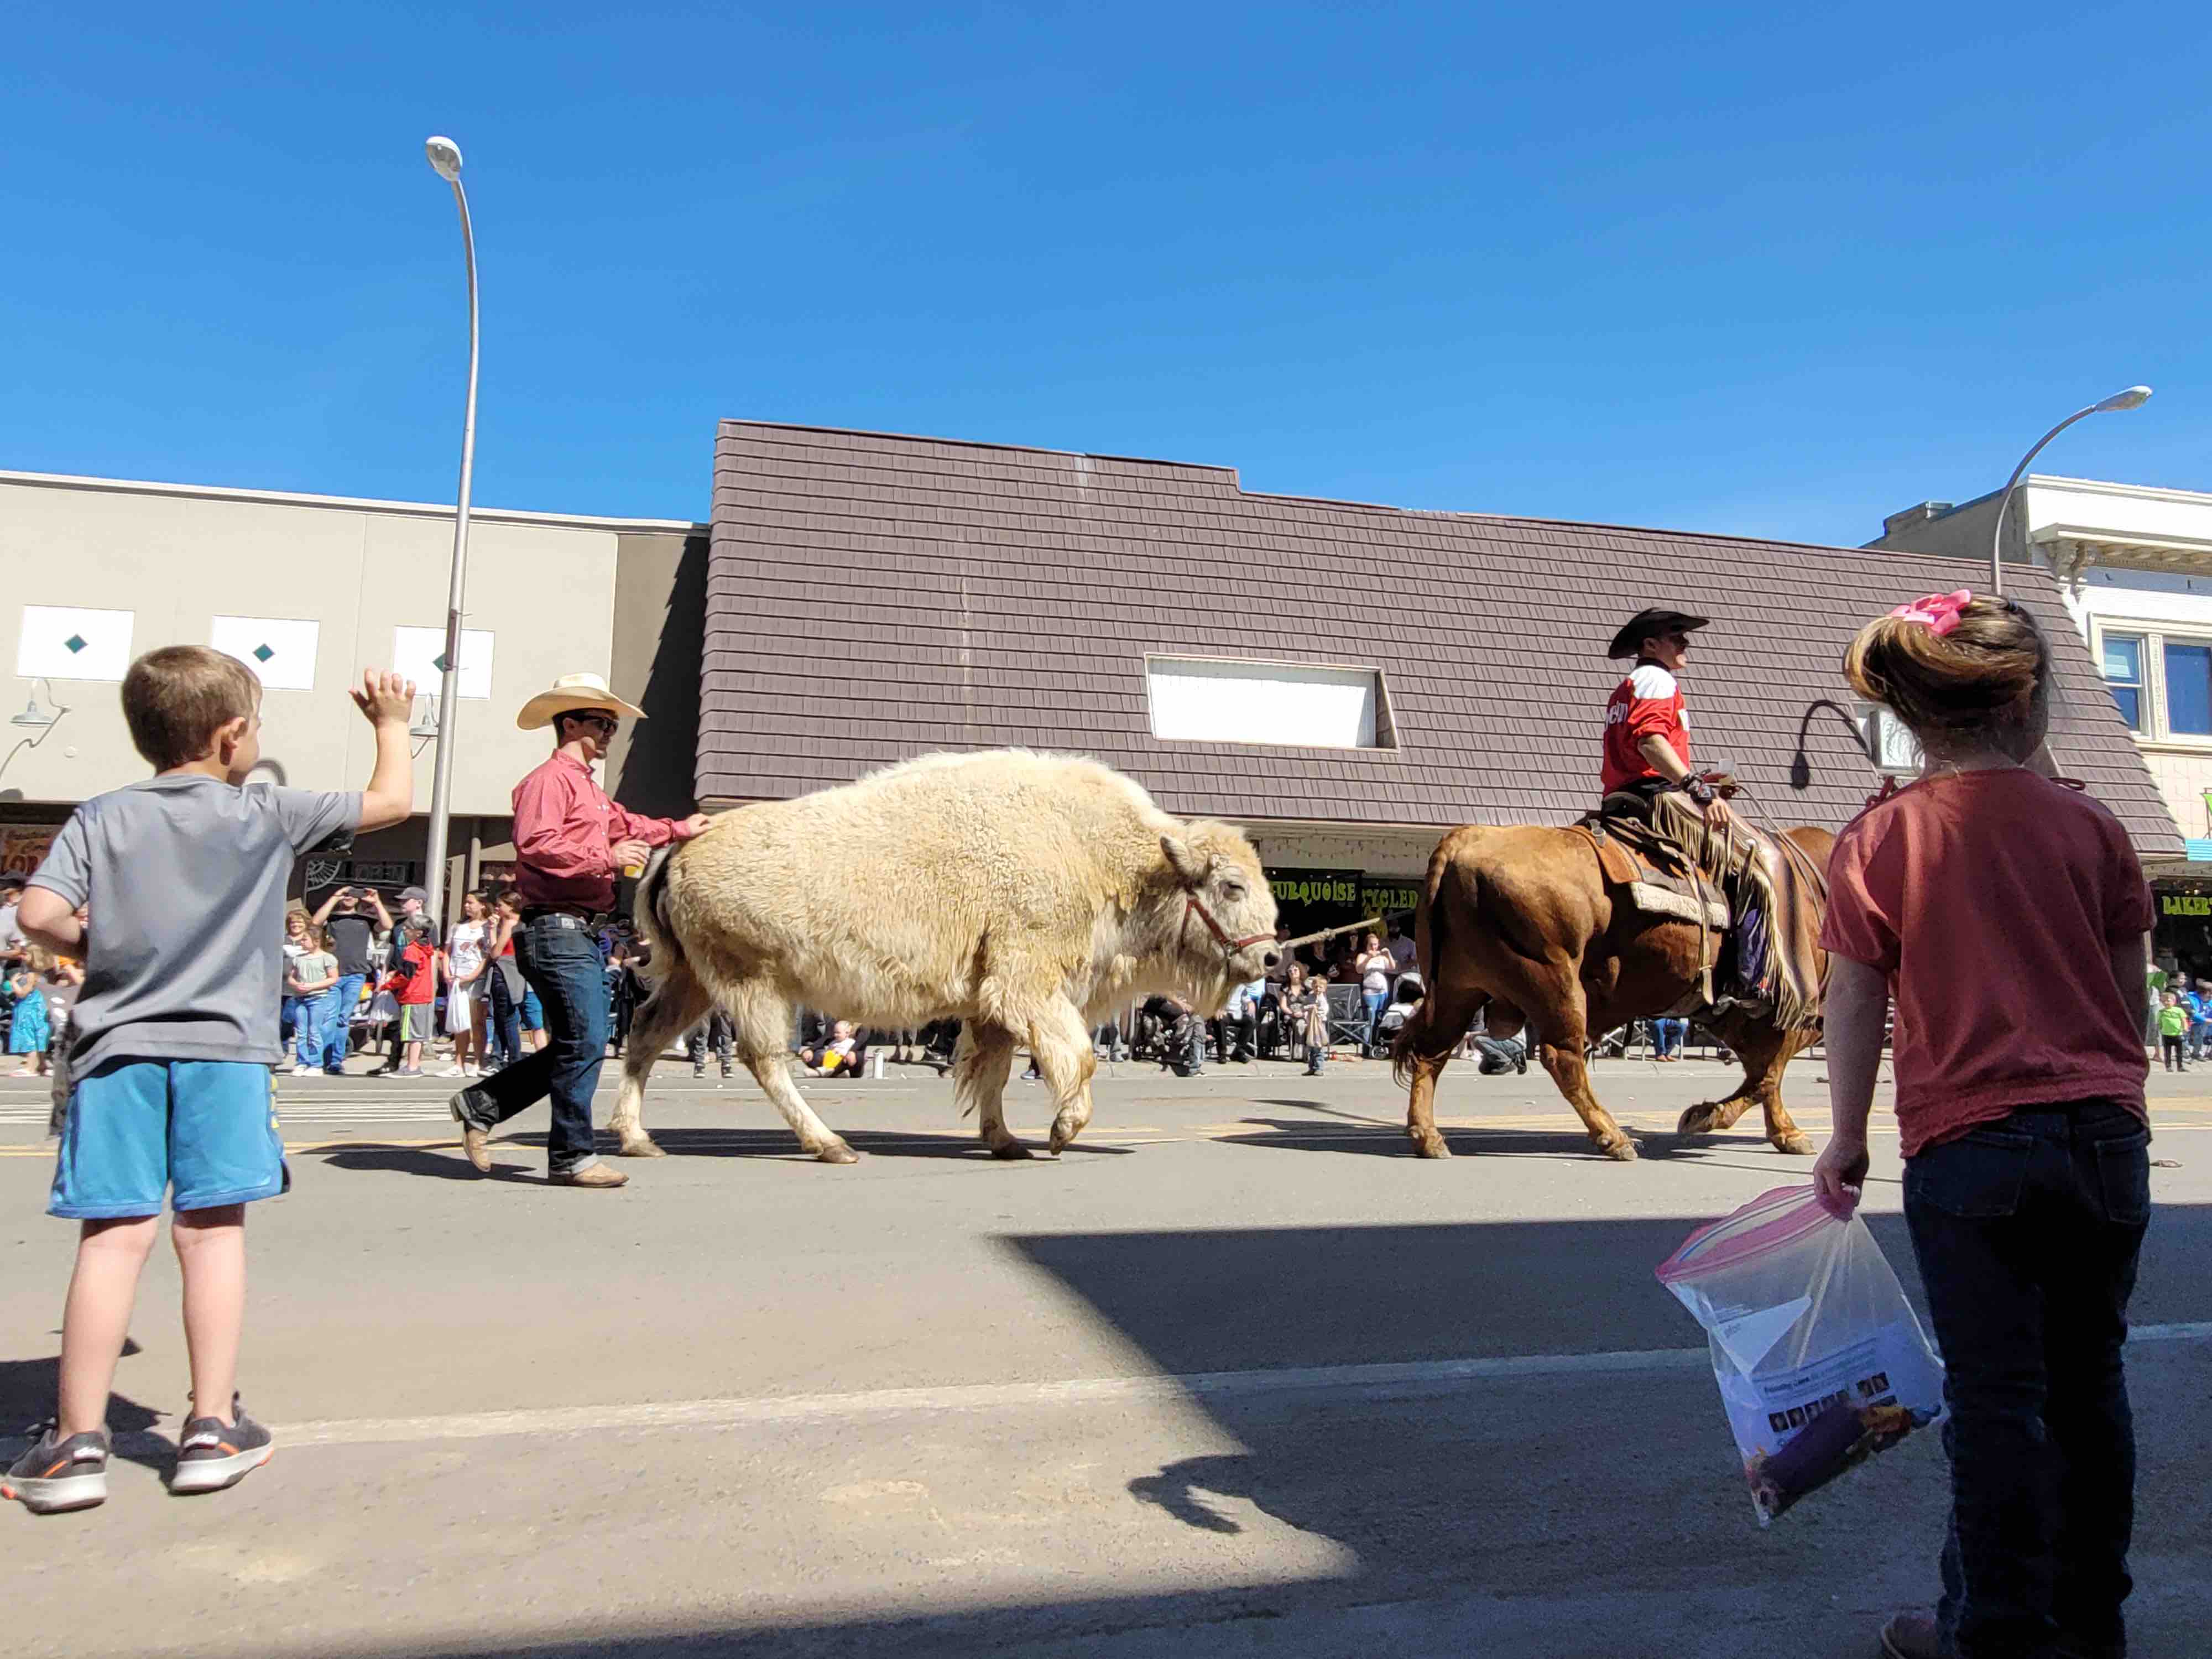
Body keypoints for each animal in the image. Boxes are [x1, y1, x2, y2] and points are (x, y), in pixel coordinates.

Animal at [619, 748, 1283, 1159]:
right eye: (1231, 885)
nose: (1273, 960)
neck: (1111, 858)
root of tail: (682, 844)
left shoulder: (991, 1005)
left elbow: (993, 1070)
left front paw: (1006, 1142)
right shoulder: (1027, 987)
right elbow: (1076, 1056)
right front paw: (1061, 1132)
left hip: (694, 981)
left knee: (645, 1033)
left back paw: (637, 1139)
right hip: (754, 984)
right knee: (765, 1060)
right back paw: (832, 1146)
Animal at [1389, 823, 1840, 1159]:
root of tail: (1464, 840)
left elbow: (1765, 1075)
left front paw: (1784, 1132)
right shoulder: (1787, 1015)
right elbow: (1767, 1075)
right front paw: (1704, 1117)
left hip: (1458, 991)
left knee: (1431, 1053)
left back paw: (1428, 1138)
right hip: (1557, 987)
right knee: (1562, 1058)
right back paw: (1615, 1138)